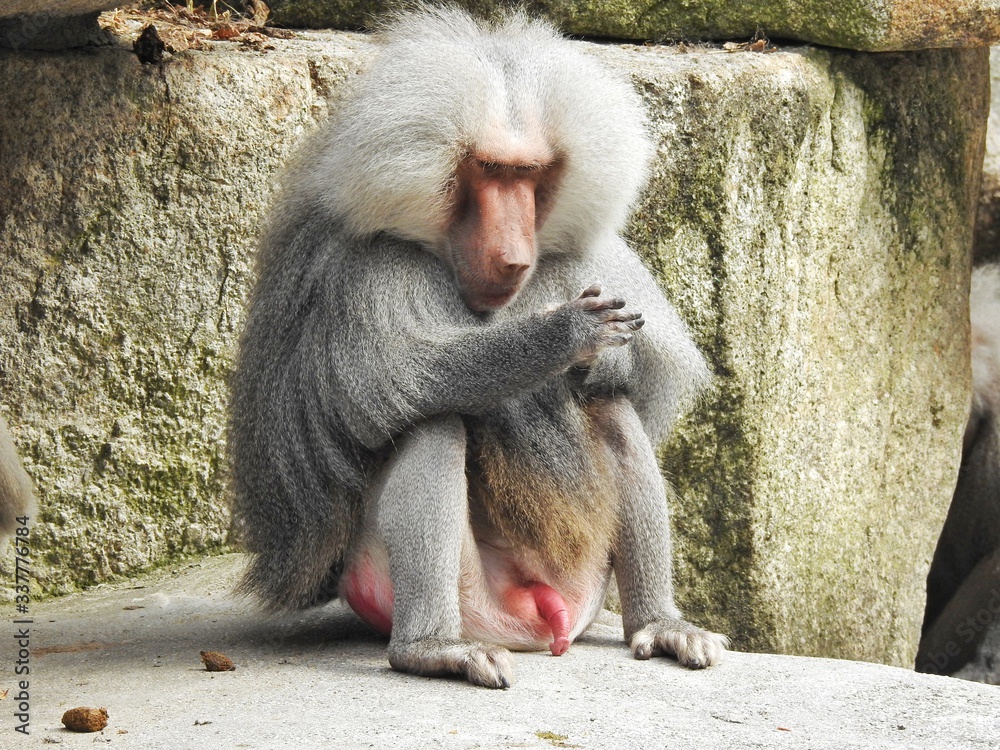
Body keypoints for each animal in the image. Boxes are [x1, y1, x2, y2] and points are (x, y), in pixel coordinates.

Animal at [228, 6, 727, 688]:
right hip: (402, 585)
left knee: (611, 408)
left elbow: (641, 387)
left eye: (531, 175)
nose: (515, 257)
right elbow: (408, 379)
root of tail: (539, 619)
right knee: (429, 422)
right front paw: (564, 335)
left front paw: (597, 357)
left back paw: (660, 623)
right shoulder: (369, 272)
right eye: (489, 170)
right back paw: (432, 648)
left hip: (580, 579)